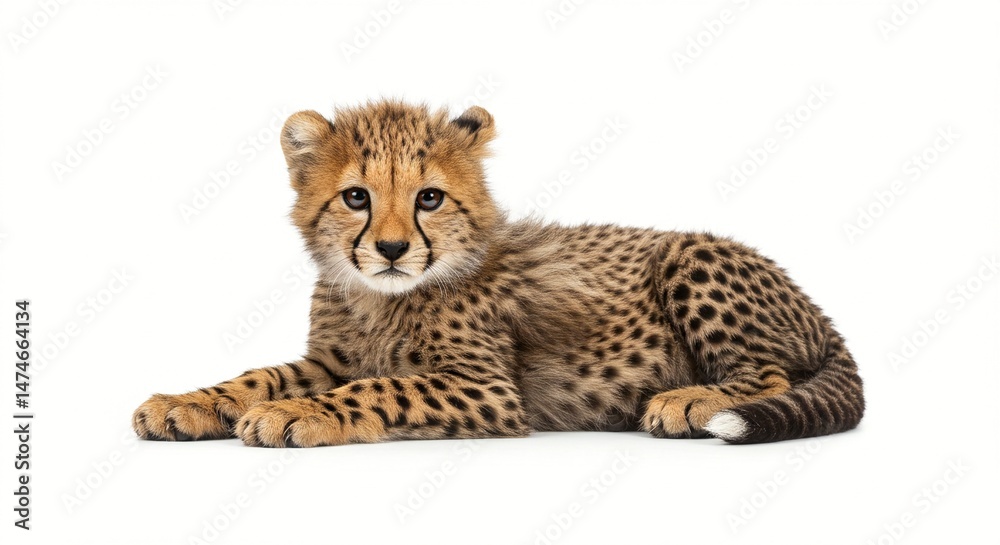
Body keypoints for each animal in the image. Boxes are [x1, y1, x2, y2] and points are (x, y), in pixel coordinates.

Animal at [132, 99, 865, 447]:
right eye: (356, 197)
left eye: (429, 197)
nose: (392, 248)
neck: (381, 297)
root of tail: (817, 309)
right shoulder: (331, 357)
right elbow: (259, 375)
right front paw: (186, 402)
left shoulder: (486, 388)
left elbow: (377, 388)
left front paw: (295, 413)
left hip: (693, 256)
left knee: (769, 374)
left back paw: (686, 401)